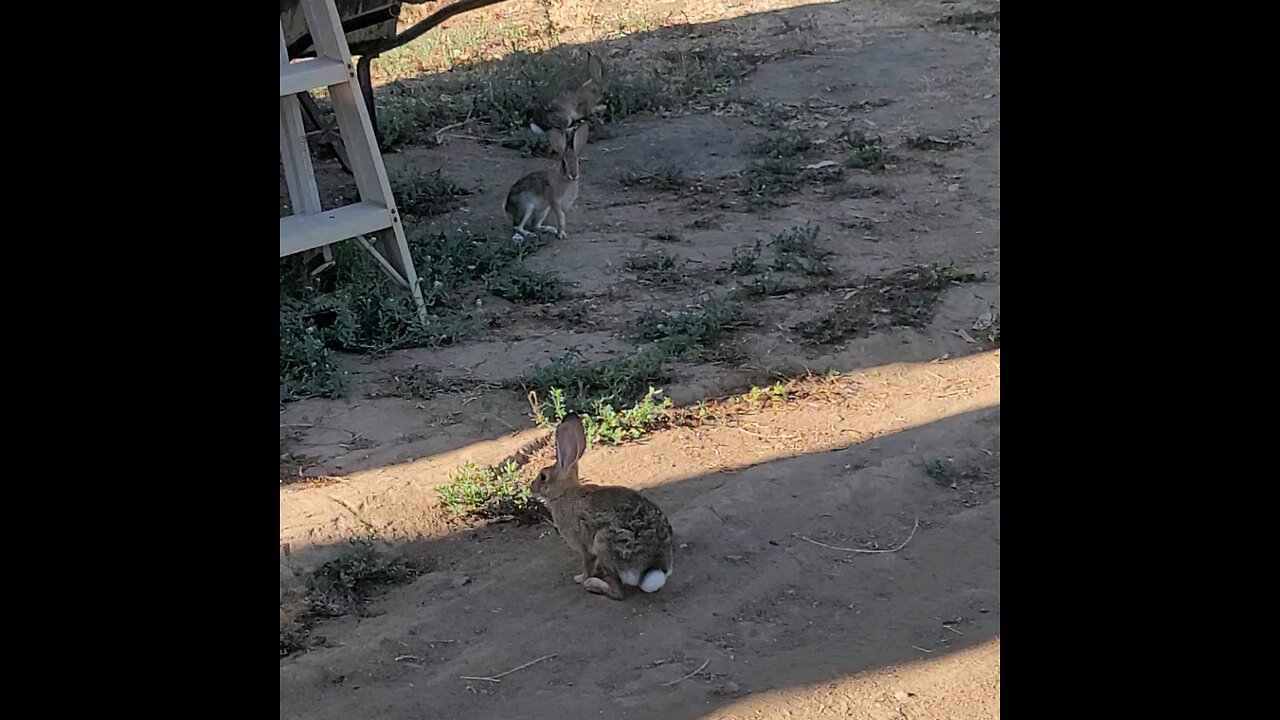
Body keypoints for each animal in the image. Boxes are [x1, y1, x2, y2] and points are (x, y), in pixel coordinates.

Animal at [529, 412, 675, 597]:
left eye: (543, 476)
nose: (531, 487)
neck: (564, 494)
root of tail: (654, 567)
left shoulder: (585, 544)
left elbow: (588, 564)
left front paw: (580, 578)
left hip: (603, 541)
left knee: (618, 592)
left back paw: (592, 584)